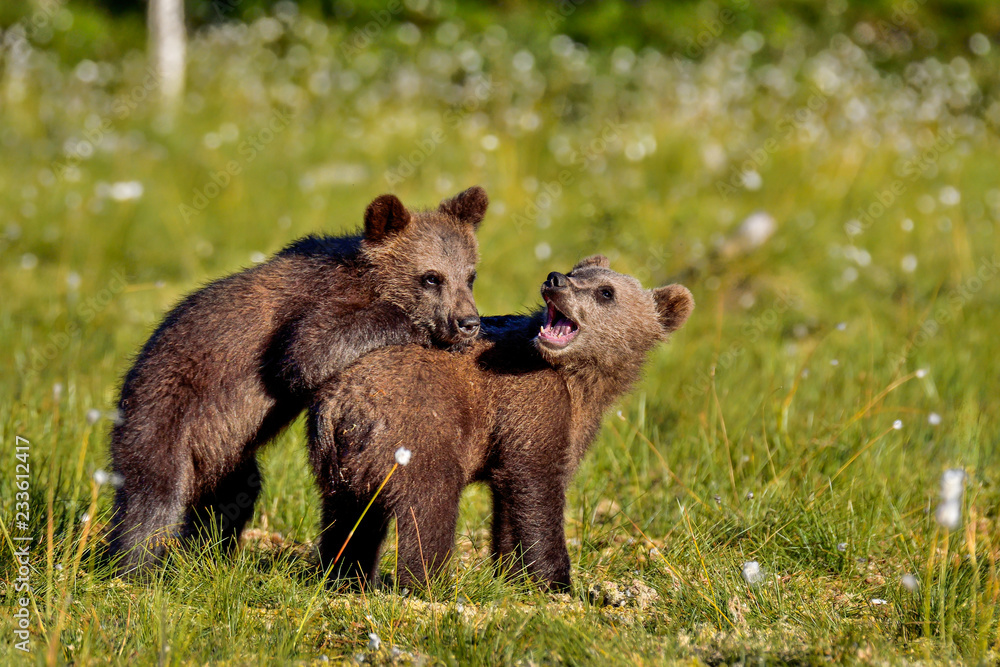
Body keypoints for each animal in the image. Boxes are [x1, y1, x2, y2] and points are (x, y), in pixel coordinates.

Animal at [107, 186, 489, 575]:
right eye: (431, 277)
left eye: (470, 275)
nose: (468, 322)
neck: (371, 281)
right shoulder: (311, 313)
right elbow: (306, 355)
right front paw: (421, 329)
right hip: (164, 415)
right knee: (154, 500)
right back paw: (134, 567)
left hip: (224, 451)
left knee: (235, 493)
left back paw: (209, 555)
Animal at [307, 254, 693, 591]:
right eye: (577, 274)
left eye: (605, 291)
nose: (556, 280)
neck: (581, 379)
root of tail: (339, 403)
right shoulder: (532, 399)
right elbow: (537, 486)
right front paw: (559, 581)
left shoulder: (566, 424)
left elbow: (512, 501)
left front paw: (514, 574)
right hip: (416, 428)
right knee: (430, 505)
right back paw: (427, 583)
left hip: (343, 460)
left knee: (349, 518)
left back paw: (344, 576)